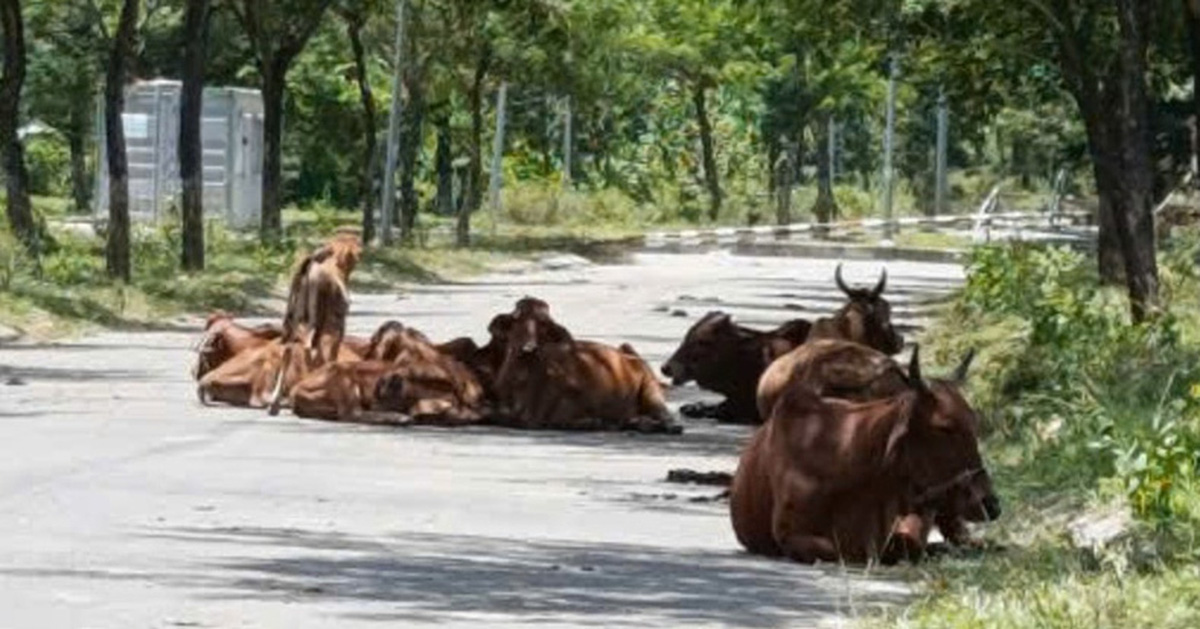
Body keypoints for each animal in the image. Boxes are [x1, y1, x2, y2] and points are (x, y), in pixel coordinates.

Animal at [270, 232, 362, 415]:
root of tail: (309, 269)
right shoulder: (334, 327)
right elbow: (328, 355)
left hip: (293, 321)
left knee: (287, 350)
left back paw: (276, 401)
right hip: (314, 324)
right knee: (309, 352)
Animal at [489, 296, 681, 432]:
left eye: (543, 324)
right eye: (516, 320)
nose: (527, 347)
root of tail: (628, 355)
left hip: (651, 391)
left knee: (668, 419)